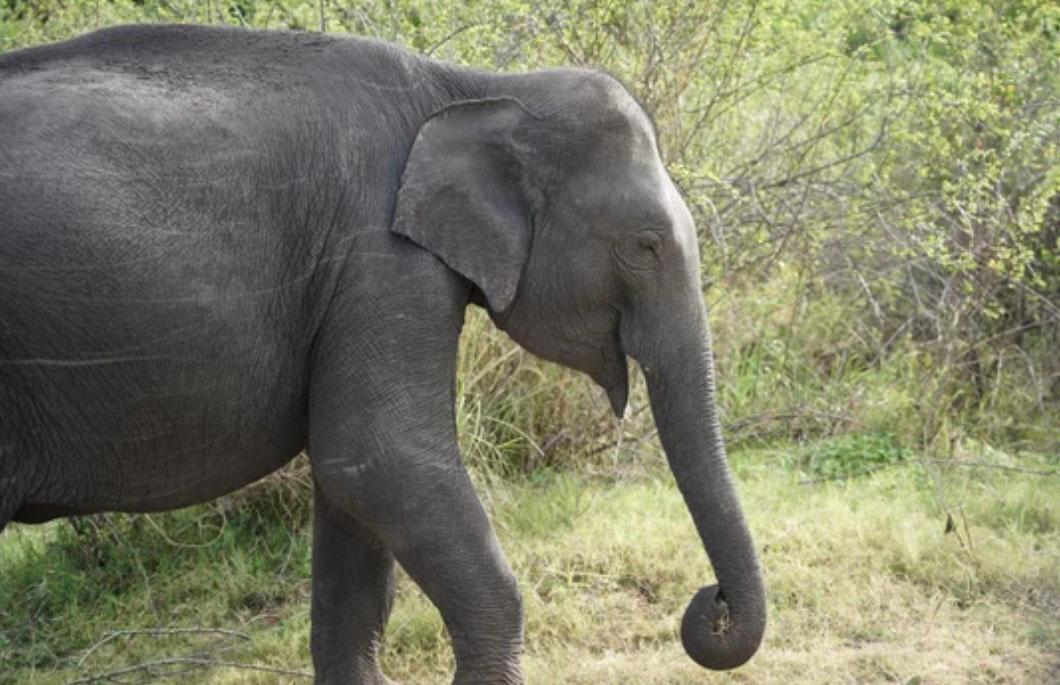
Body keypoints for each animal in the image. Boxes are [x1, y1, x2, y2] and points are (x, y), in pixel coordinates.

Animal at [0, 24, 766, 683]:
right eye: (645, 245)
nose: (712, 603)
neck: (474, 89)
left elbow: (351, 492)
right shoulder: (378, 254)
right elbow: (380, 457)